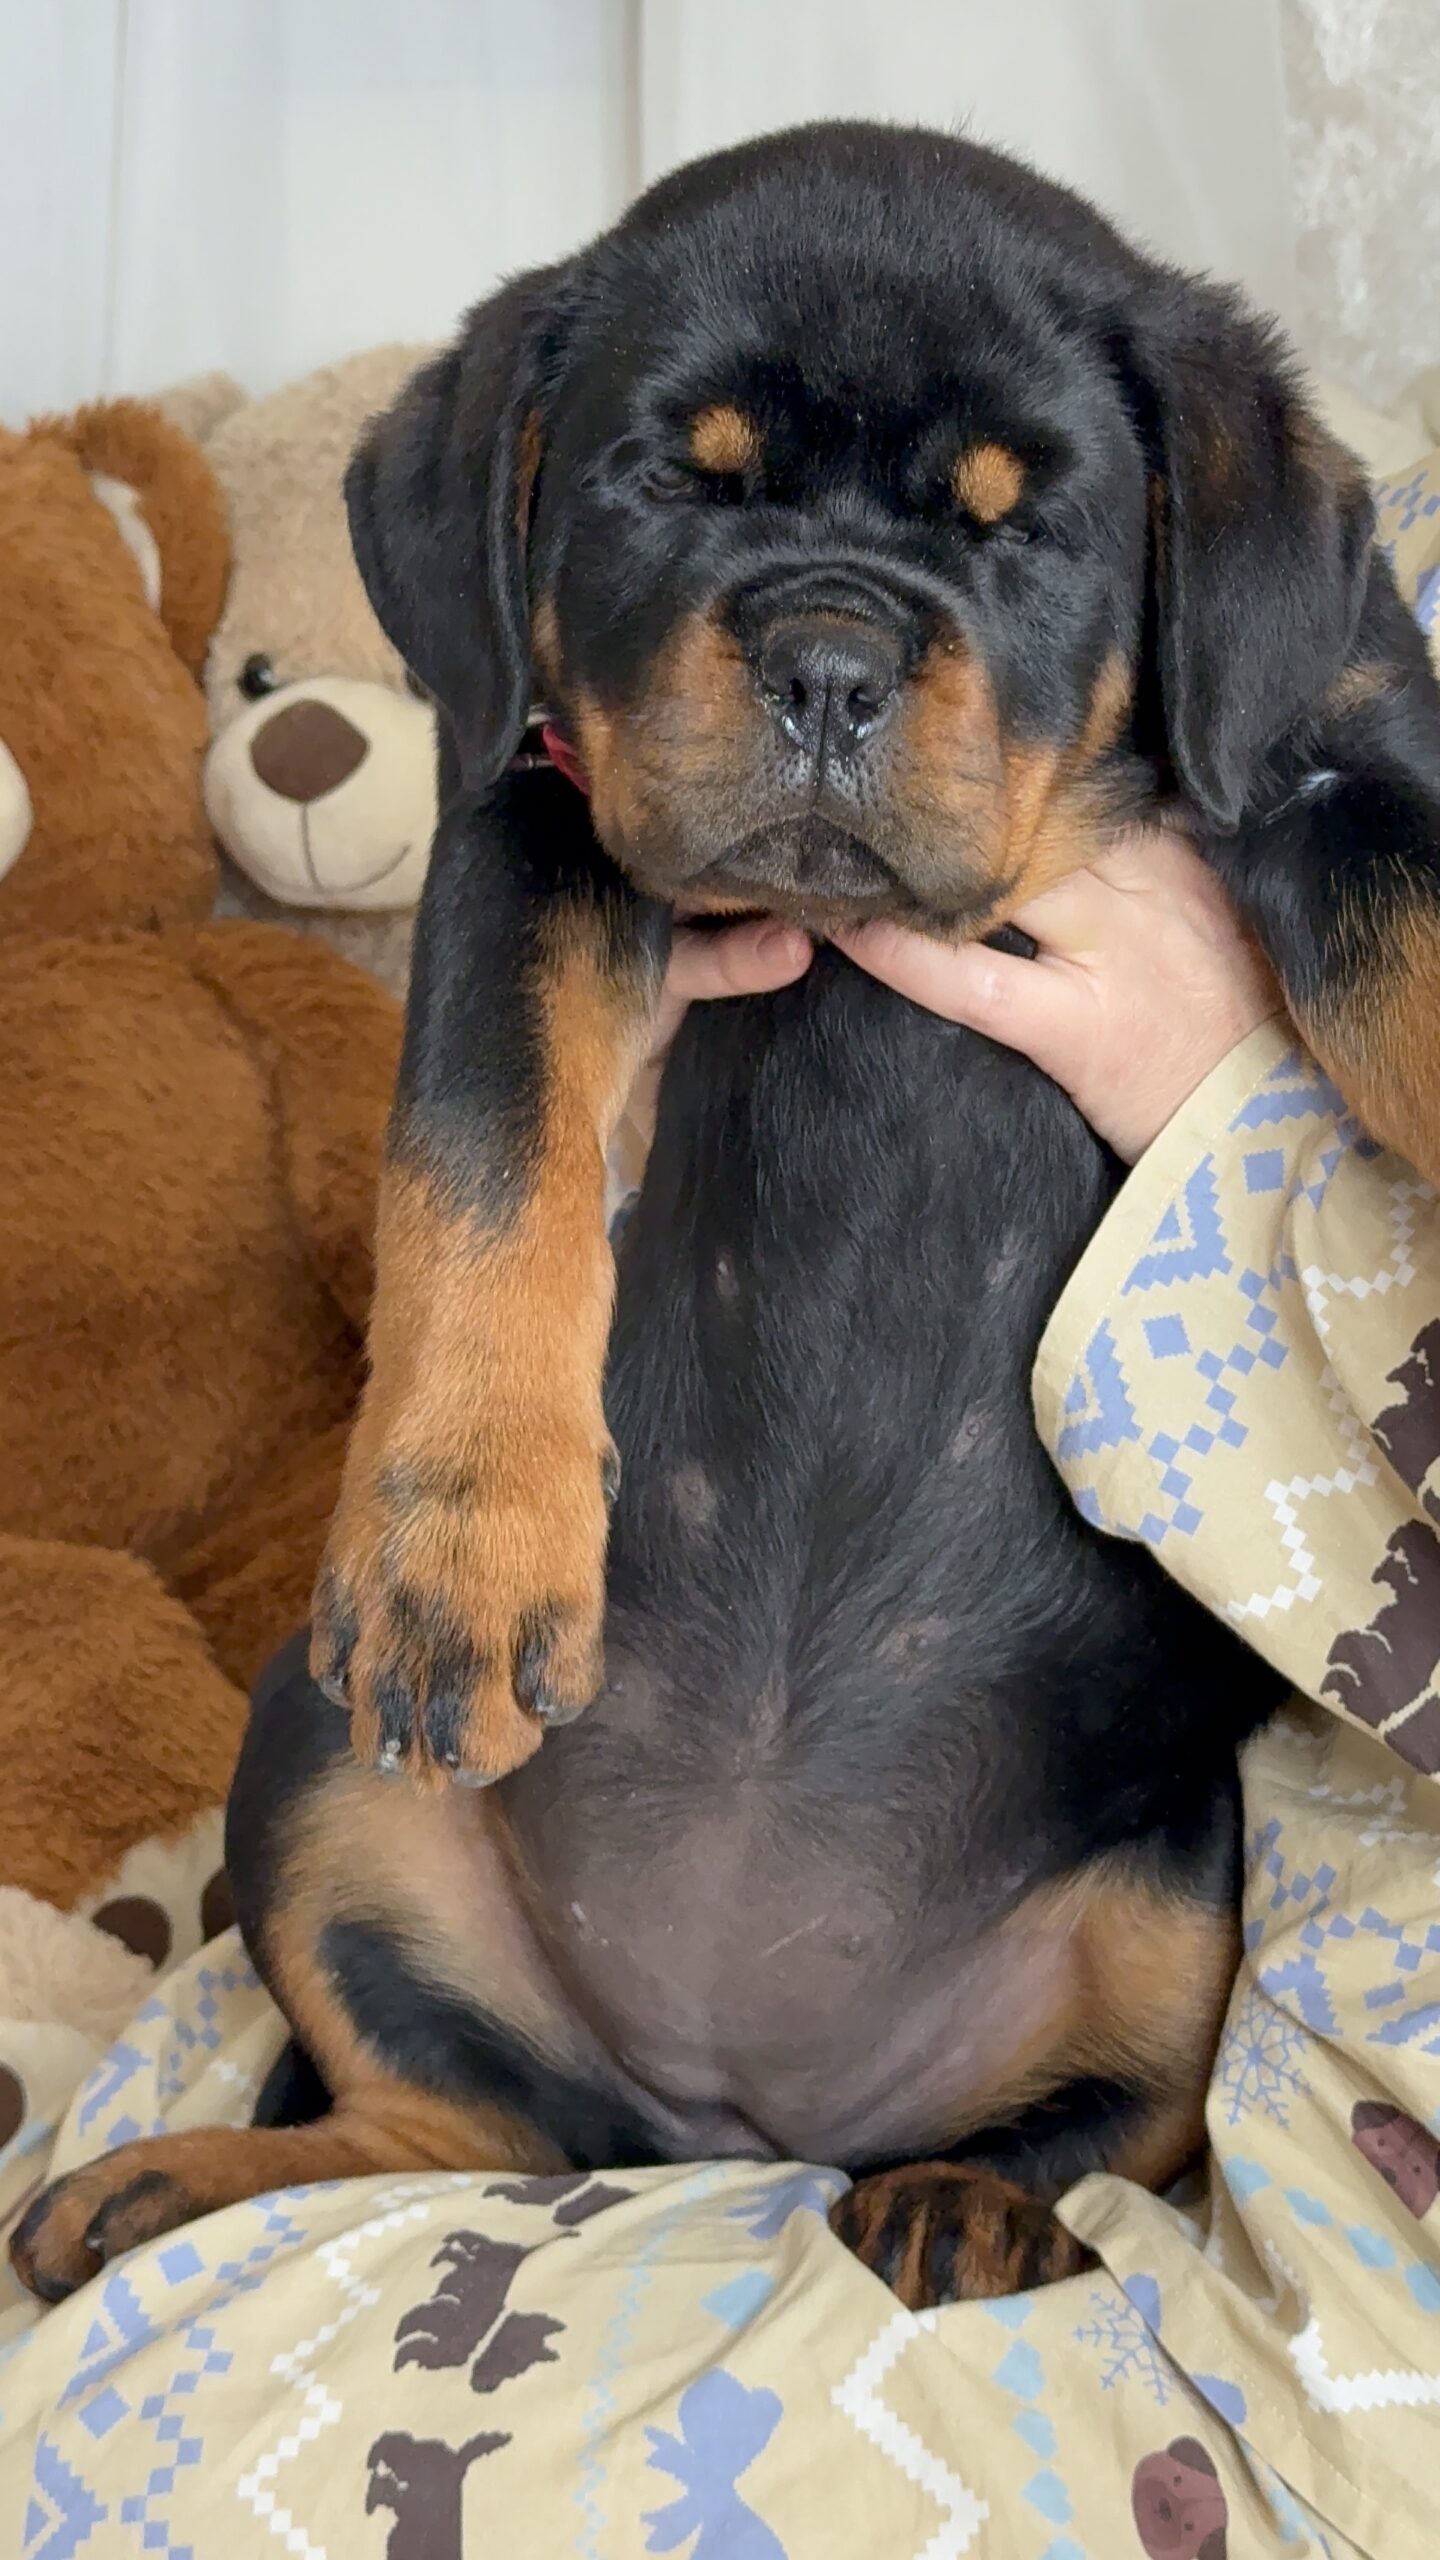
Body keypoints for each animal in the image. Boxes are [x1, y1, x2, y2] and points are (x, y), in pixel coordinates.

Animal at [17, 121, 1440, 2312]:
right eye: (668, 487)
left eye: (1028, 530)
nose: (829, 663)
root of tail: (733, 2120)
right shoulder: (531, 800)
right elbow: (490, 1151)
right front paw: (474, 1529)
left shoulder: (1345, 741)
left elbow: (1413, 948)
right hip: (319, 1754)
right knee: (459, 2117)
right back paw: (176, 2185)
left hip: (1178, 1876)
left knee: (1119, 2123)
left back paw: (972, 2202)